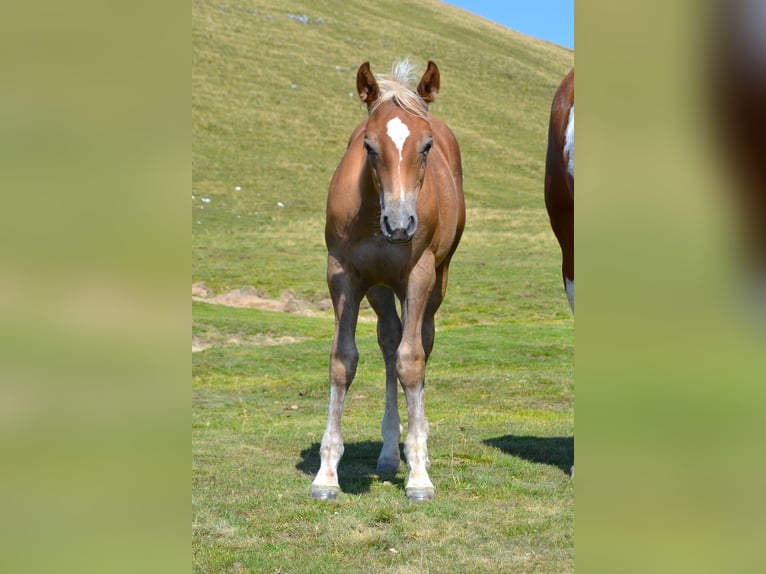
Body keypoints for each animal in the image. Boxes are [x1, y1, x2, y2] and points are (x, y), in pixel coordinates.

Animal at [310, 60, 465, 501]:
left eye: (426, 146)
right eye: (368, 146)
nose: (400, 224)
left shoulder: (419, 276)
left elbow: (411, 362)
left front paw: (419, 476)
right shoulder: (343, 275)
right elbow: (343, 361)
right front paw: (326, 474)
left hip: (436, 282)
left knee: (421, 342)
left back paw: (417, 444)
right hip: (379, 288)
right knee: (389, 341)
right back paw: (389, 452)